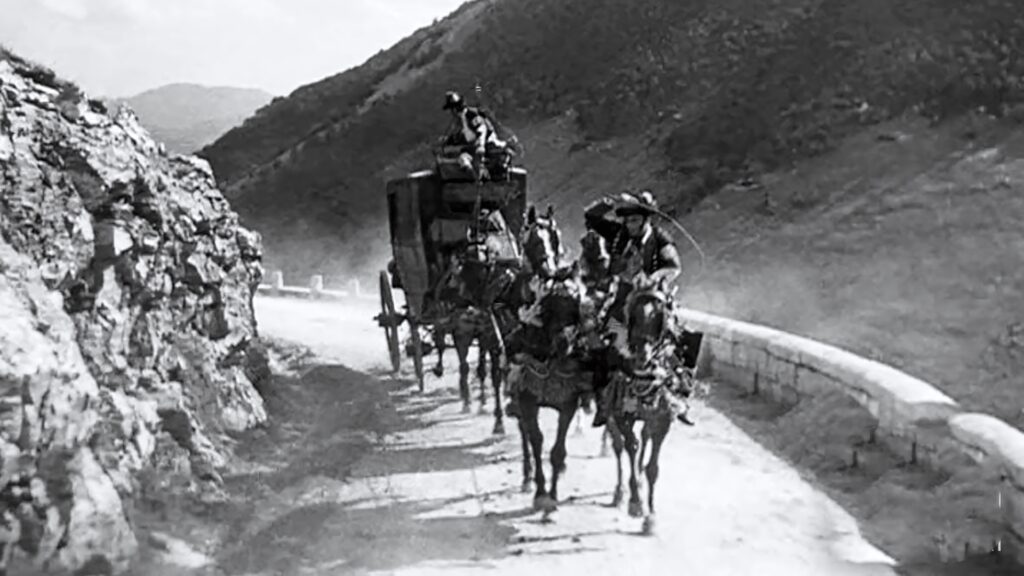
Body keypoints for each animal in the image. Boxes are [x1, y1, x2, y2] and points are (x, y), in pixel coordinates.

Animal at [603, 275, 699, 535]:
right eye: (633, 313)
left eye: (659, 316)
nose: (641, 357)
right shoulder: (621, 413)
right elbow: (630, 446)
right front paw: (635, 502)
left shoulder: (663, 418)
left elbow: (653, 466)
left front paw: (651, 516)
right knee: (619, 446)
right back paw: (620, 491)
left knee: (644, 437)